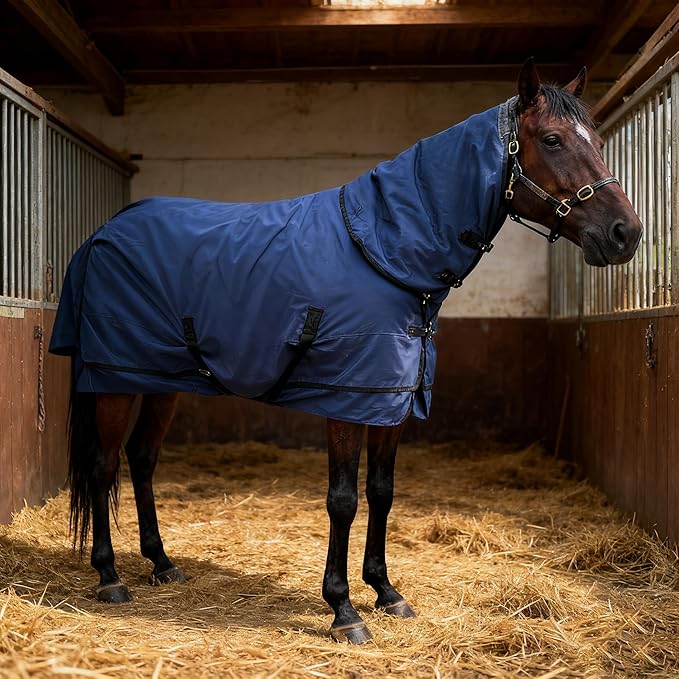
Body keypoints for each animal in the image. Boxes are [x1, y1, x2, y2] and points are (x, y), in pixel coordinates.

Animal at [49, 59, 642, 645]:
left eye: (596, 140)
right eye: (553, 139)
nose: (626, 233)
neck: (384, 250)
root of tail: (102, 234)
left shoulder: (390, 400)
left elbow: (381, 491)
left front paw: (386, 592)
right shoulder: (347, 396)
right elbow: (343, 500)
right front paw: (344, 610)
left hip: (159, 378)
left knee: (141, 459)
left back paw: (162, 563)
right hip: (115, 378)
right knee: (103, 466)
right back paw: (109, 576)